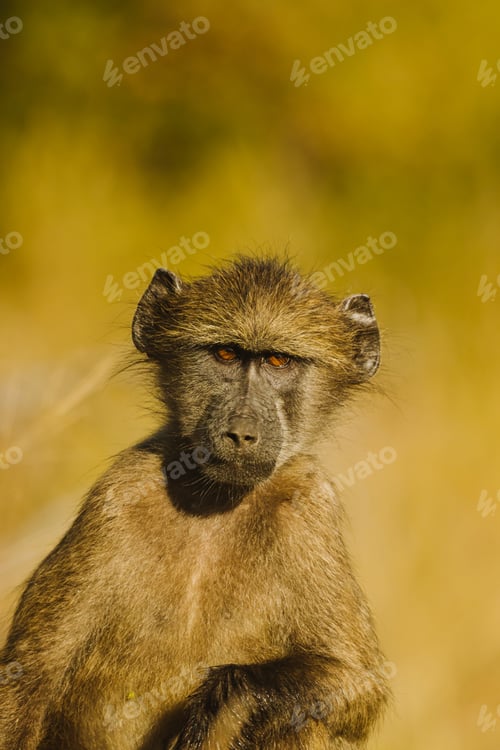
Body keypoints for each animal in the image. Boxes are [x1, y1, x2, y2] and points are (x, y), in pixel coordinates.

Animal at [0, 256, 391, 749]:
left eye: (278, 360)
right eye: (225, 355)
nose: (241, 433)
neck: (213, 503)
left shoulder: (309, 505)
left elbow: (359, 682)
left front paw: (230, 700)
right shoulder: (118, 494)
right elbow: (30, 675)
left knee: (300, 721)